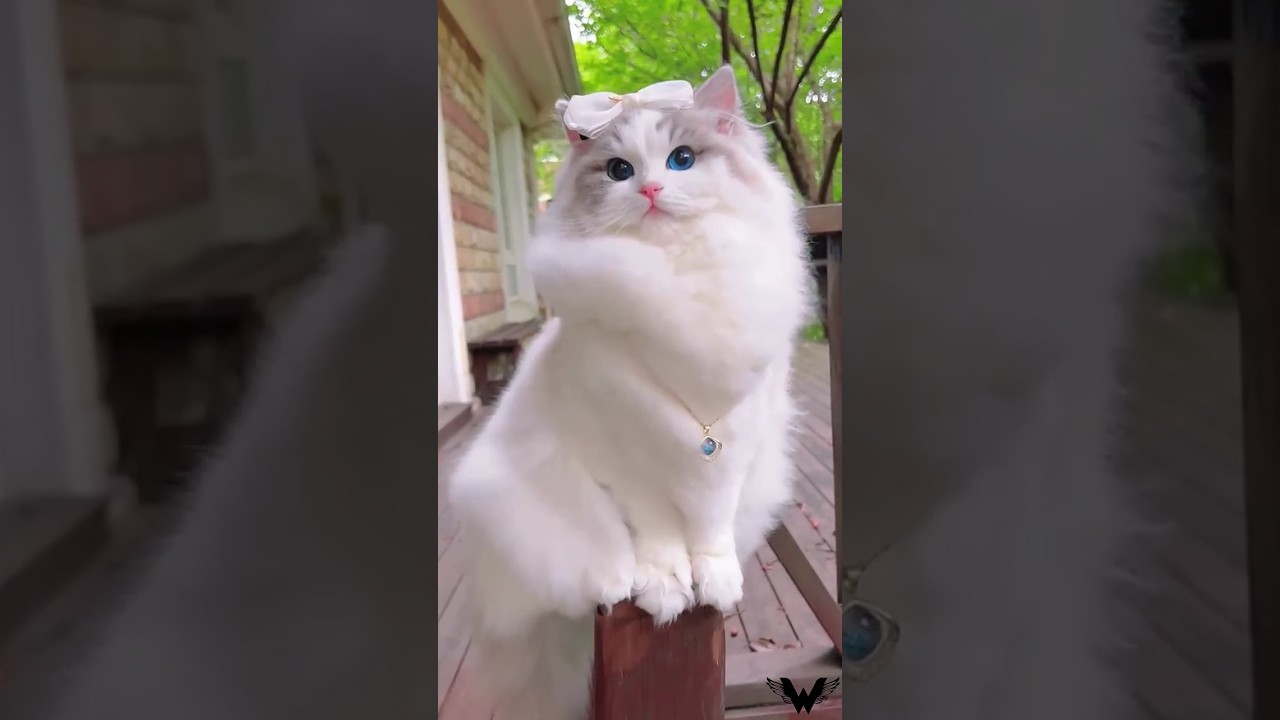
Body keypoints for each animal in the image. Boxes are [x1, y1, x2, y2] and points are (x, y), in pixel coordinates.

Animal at [445, 65, 813, 719]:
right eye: (619, 171)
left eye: (682, 159)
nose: (650, 190)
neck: (672, 277)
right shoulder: (627, 457)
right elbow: (658, 535)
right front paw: (666, 588)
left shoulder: (730, 445)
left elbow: (711, 529)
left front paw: (716, 584)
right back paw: (617, 582)